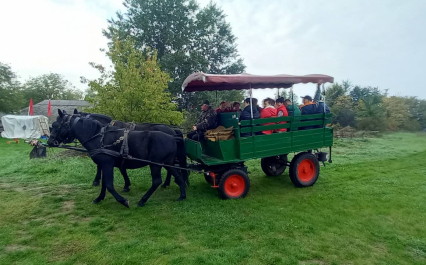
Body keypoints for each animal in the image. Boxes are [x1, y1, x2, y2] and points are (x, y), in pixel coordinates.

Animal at [48, 109, 186, 206]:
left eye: (55, 125)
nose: (50, 142)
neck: (98, 136)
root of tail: (173, 136)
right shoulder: (107, 164)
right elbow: (106, 182)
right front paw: (99, 198)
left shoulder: (107, 163)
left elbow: (109, 184)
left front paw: (123, 200)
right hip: (167, 163)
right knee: (178, 176)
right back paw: (182, 195)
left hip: (155, 164)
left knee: (157, 181)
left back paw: (143, 200)